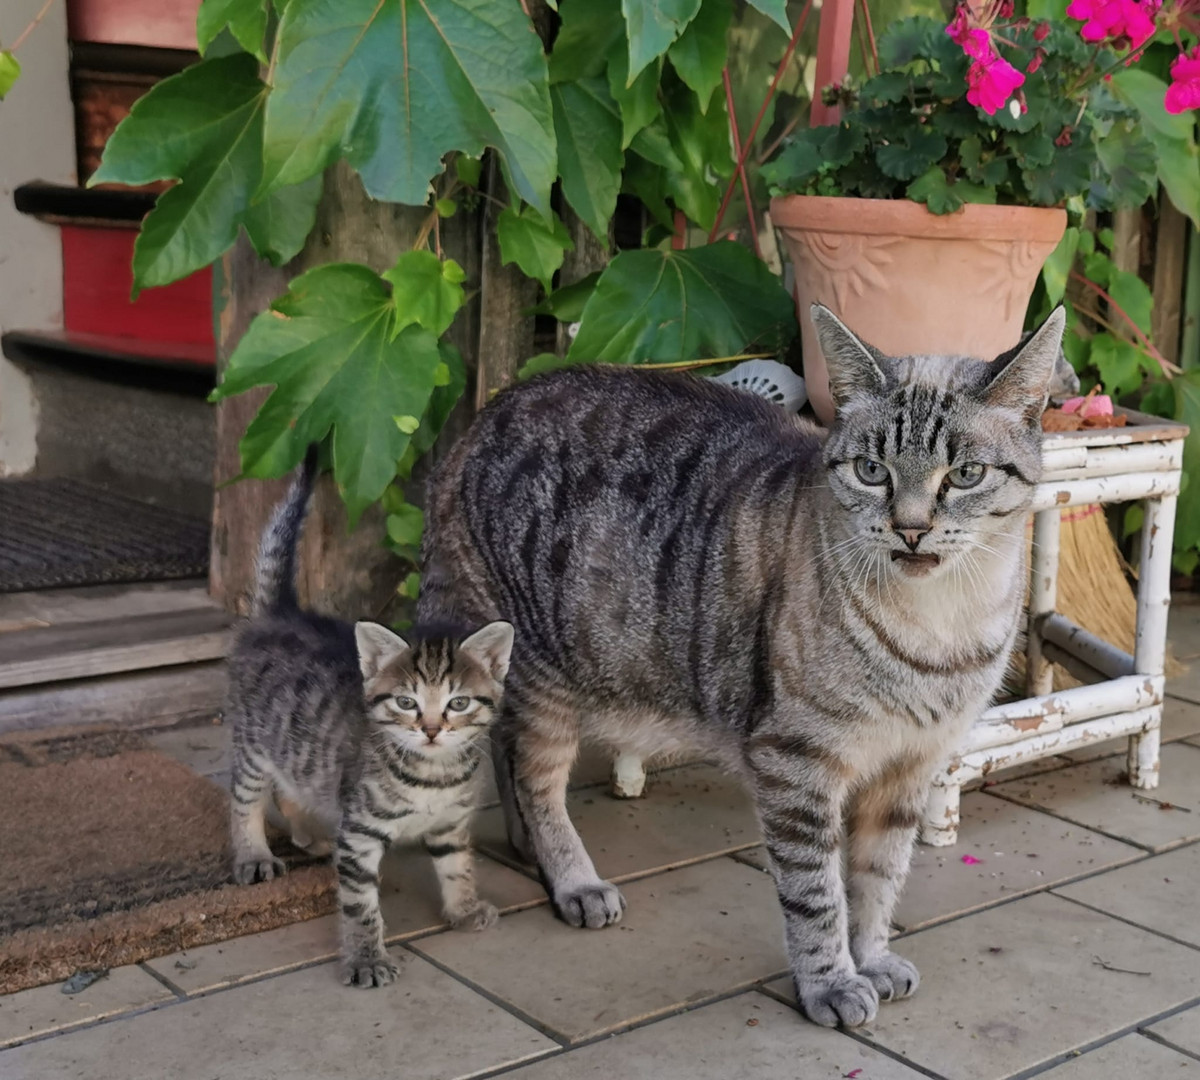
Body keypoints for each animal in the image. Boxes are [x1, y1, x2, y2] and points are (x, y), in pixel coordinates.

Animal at [226, 446, 513, 988]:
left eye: (458, 703)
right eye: (406, 703)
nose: (431, 729)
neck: (433, 775)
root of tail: (280, 613)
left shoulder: (451, 823)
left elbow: (458, 866)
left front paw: (464, 909)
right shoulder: (358, 837)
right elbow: (360, 905)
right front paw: (366, 959)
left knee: (292, 783)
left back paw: (309, 833)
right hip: (251, 742)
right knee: (245, 799)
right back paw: (253, 854)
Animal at [417, 306, 1065, 1027]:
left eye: (965, 474)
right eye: (873, 470)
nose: (912, 528)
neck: (942, 625)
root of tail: (486, 413)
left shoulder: (911, 766)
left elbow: (879, 877)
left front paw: (871, 957)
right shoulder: (797, 761)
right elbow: (817, 895)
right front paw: (832, 984)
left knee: (502, 748)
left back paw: (525, 847)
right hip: (546, 676)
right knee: (535, 780)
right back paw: (572, 879)